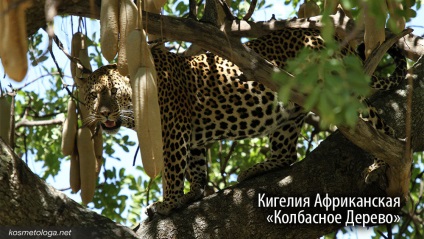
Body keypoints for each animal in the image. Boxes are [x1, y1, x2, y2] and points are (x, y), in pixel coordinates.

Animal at [77, 27, 408, 216]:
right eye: (93, 95)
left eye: (114, 93)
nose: (104, 113)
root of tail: (334, 39)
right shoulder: (193, 137)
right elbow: (196, 166)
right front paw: (194, 194)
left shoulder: (173, 131)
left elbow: (172, 171)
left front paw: (168, 203)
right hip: (289, 114)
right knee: (287, 154)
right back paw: (256, 169)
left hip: (340, 93)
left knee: (381, 130)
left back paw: (382, 162)